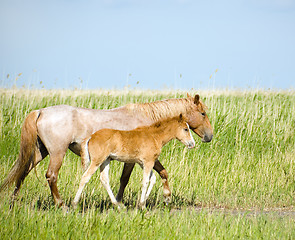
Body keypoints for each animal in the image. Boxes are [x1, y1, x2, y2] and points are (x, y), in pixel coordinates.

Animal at [0, 94, 213, 206]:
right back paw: (61, 204)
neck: (147, 121)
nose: (209, 136)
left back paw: (13, 201)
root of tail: (41, 111)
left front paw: (167, 197)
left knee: (23, 172)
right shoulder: (133, 159)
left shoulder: (145, 158)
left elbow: (163, 172)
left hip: (39, 152)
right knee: (51, 175)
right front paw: (119, 201)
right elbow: (125, 179)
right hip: (57, 153)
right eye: (203, 113)